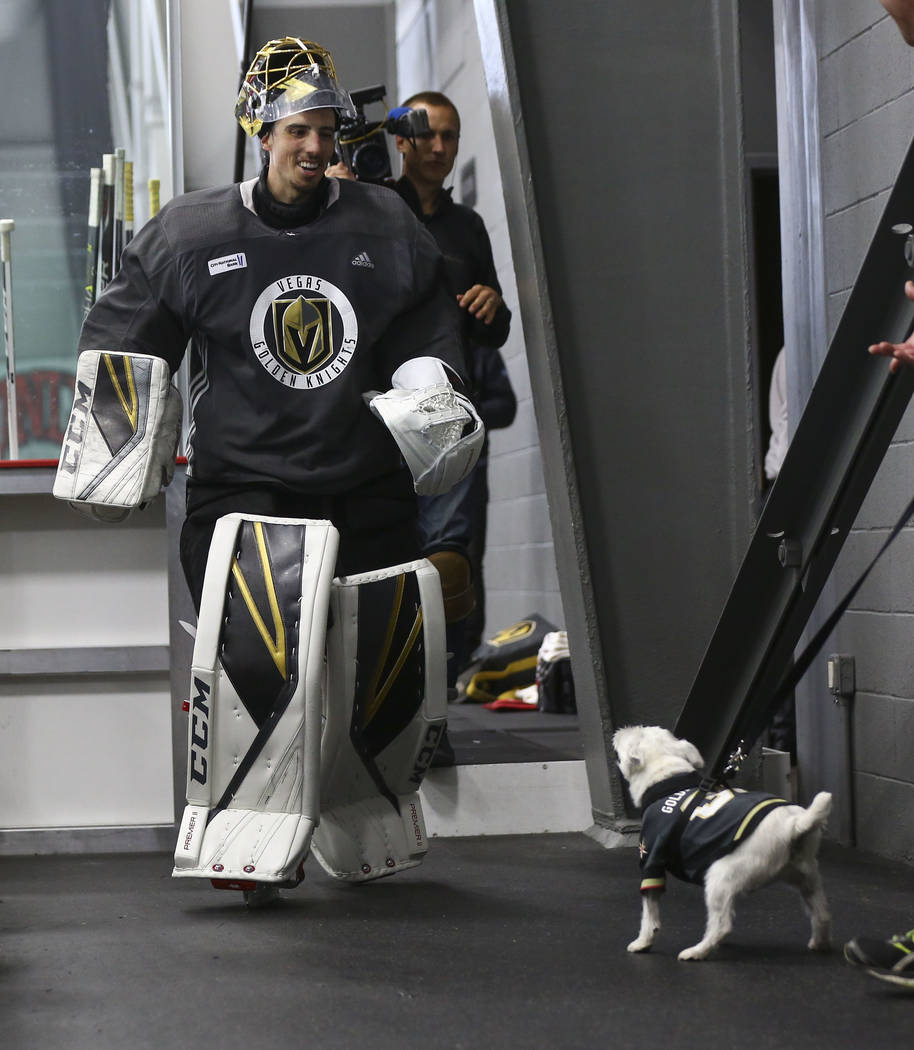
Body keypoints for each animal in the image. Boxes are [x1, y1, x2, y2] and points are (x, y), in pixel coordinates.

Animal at [613, 730, 832, 961]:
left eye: (634, 732)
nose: (619, 730)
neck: (666, 775)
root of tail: (793, 825)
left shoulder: (651, 860)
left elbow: (649, 912)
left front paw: (643, 942)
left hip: (720, 877)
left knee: (722, 925)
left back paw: (698, 951)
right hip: (806, 877)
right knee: (822, 913)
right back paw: (820, 943)